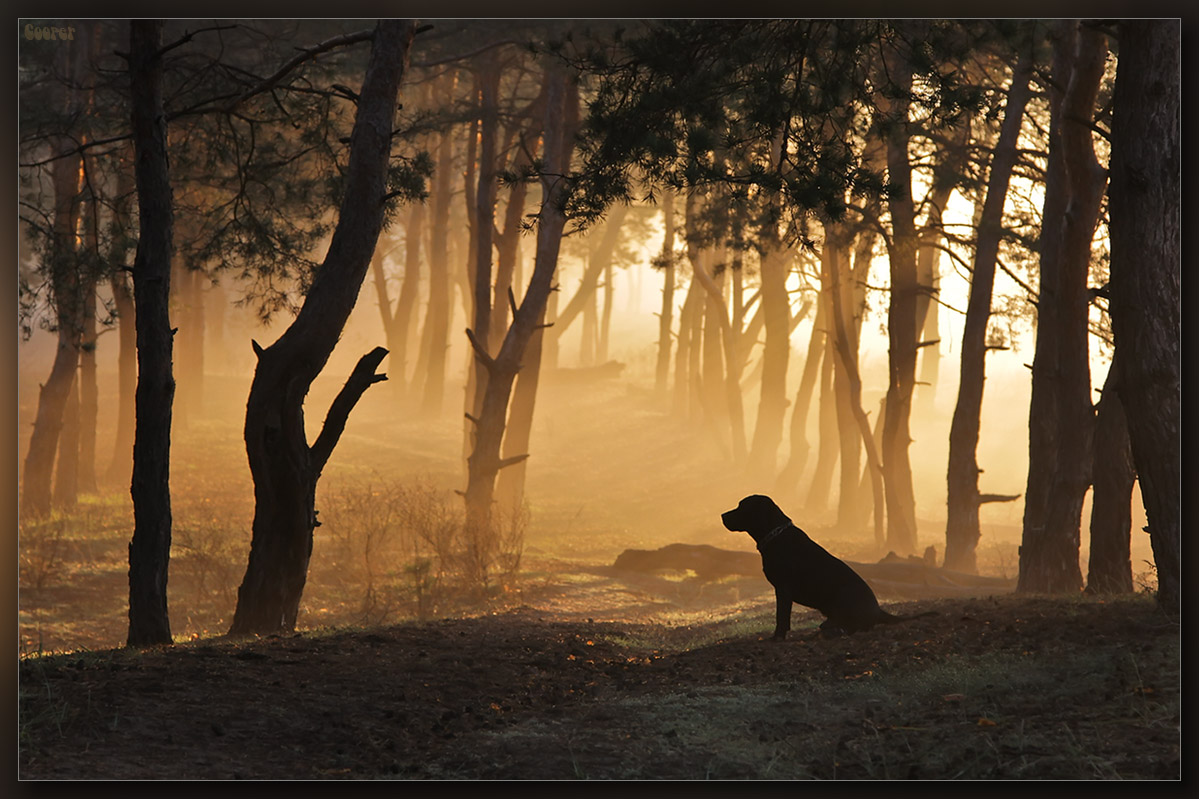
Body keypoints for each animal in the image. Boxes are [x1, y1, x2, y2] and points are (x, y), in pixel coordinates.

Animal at [719, 494, 935, 638]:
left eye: (742, 506)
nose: (722, 515)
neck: (776, 535)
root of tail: (878, 610)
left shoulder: (783, 588)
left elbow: (782, 616)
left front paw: (777, 637)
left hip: (844, 595)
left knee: (856, 626)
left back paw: (837, 629)